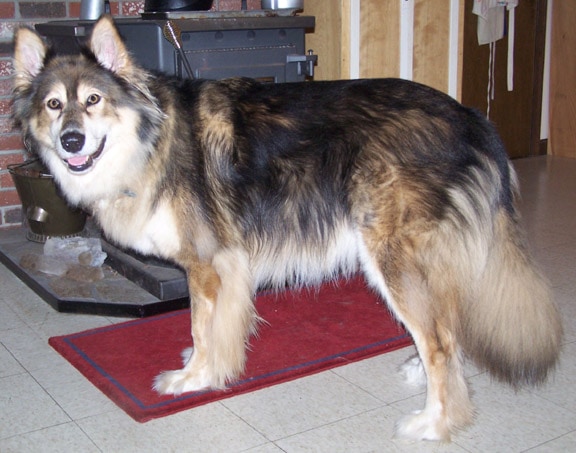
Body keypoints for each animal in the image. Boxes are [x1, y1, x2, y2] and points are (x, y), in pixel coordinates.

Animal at [12, 15, 564, 440]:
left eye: (94, 100)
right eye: (53, 105)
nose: (71, 141)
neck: (151, 139)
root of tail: (471, 117)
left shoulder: (208, 265)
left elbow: (202, 326)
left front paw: (194, 377)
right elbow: (206, 328)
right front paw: (202, 365)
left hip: (390, 255)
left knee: (441, 342)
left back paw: (435, 422)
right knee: (446, 326)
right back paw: (421, 374)